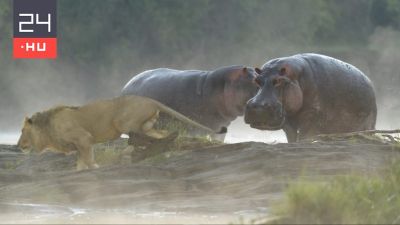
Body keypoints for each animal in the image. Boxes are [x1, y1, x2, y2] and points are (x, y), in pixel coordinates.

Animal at [18, 95, 225, 171]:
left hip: (123, 123)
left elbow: (88, 160)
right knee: (162, 133)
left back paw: (132, 153)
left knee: (138, 138)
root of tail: (149, 100)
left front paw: (95, 167)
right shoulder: (80, 145)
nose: (18, 145)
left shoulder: (84, 138)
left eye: (22, 131)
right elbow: (80, 163)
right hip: (147, 125)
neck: (47, 128)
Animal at [244, 53, 378, 142]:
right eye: (256, 80)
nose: (258, 106)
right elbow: (291, 137)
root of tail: (370, 82)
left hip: (367, 125)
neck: (294, 77)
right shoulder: (288, 120)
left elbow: (303, 136)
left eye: (279, 81)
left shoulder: (310, 114)